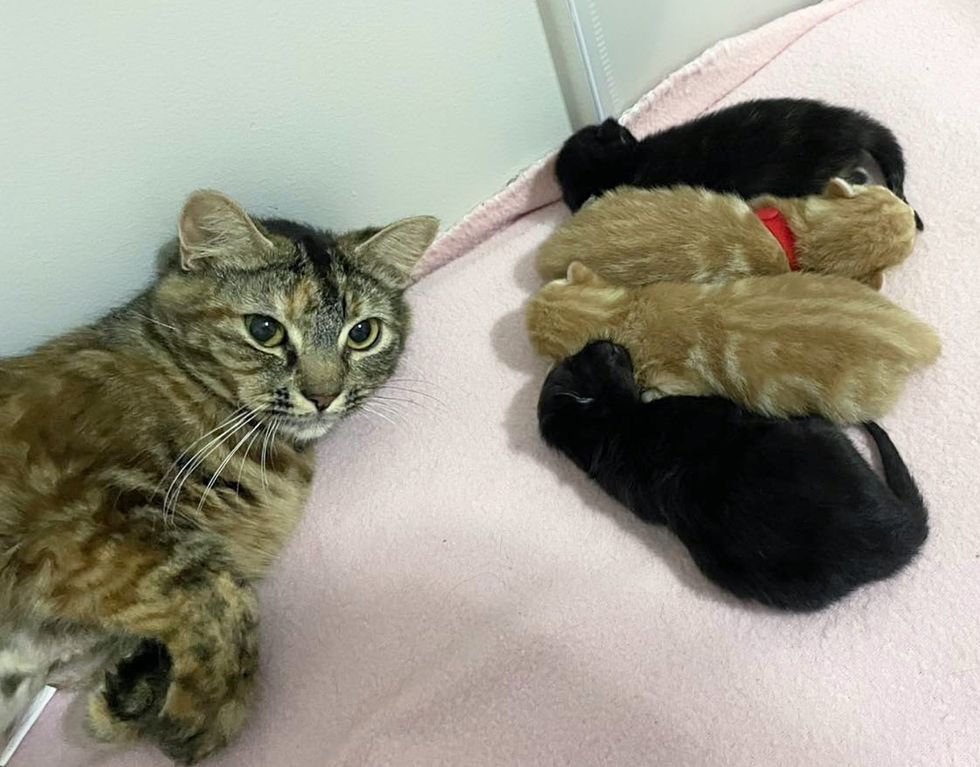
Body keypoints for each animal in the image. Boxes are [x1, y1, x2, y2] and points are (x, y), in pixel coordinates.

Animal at [0, 192, 436, 760]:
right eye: (265, 330)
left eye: (362, 334)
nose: (324, 395)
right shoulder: (85, 521)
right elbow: (224, 591)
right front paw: (206, 714)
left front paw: (131, 692)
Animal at [540, 342, 932, 612]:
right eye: (598, 357)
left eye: (577, 356)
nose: (608, 342)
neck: (611, 431)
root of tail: (897, 537)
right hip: (826, 438)